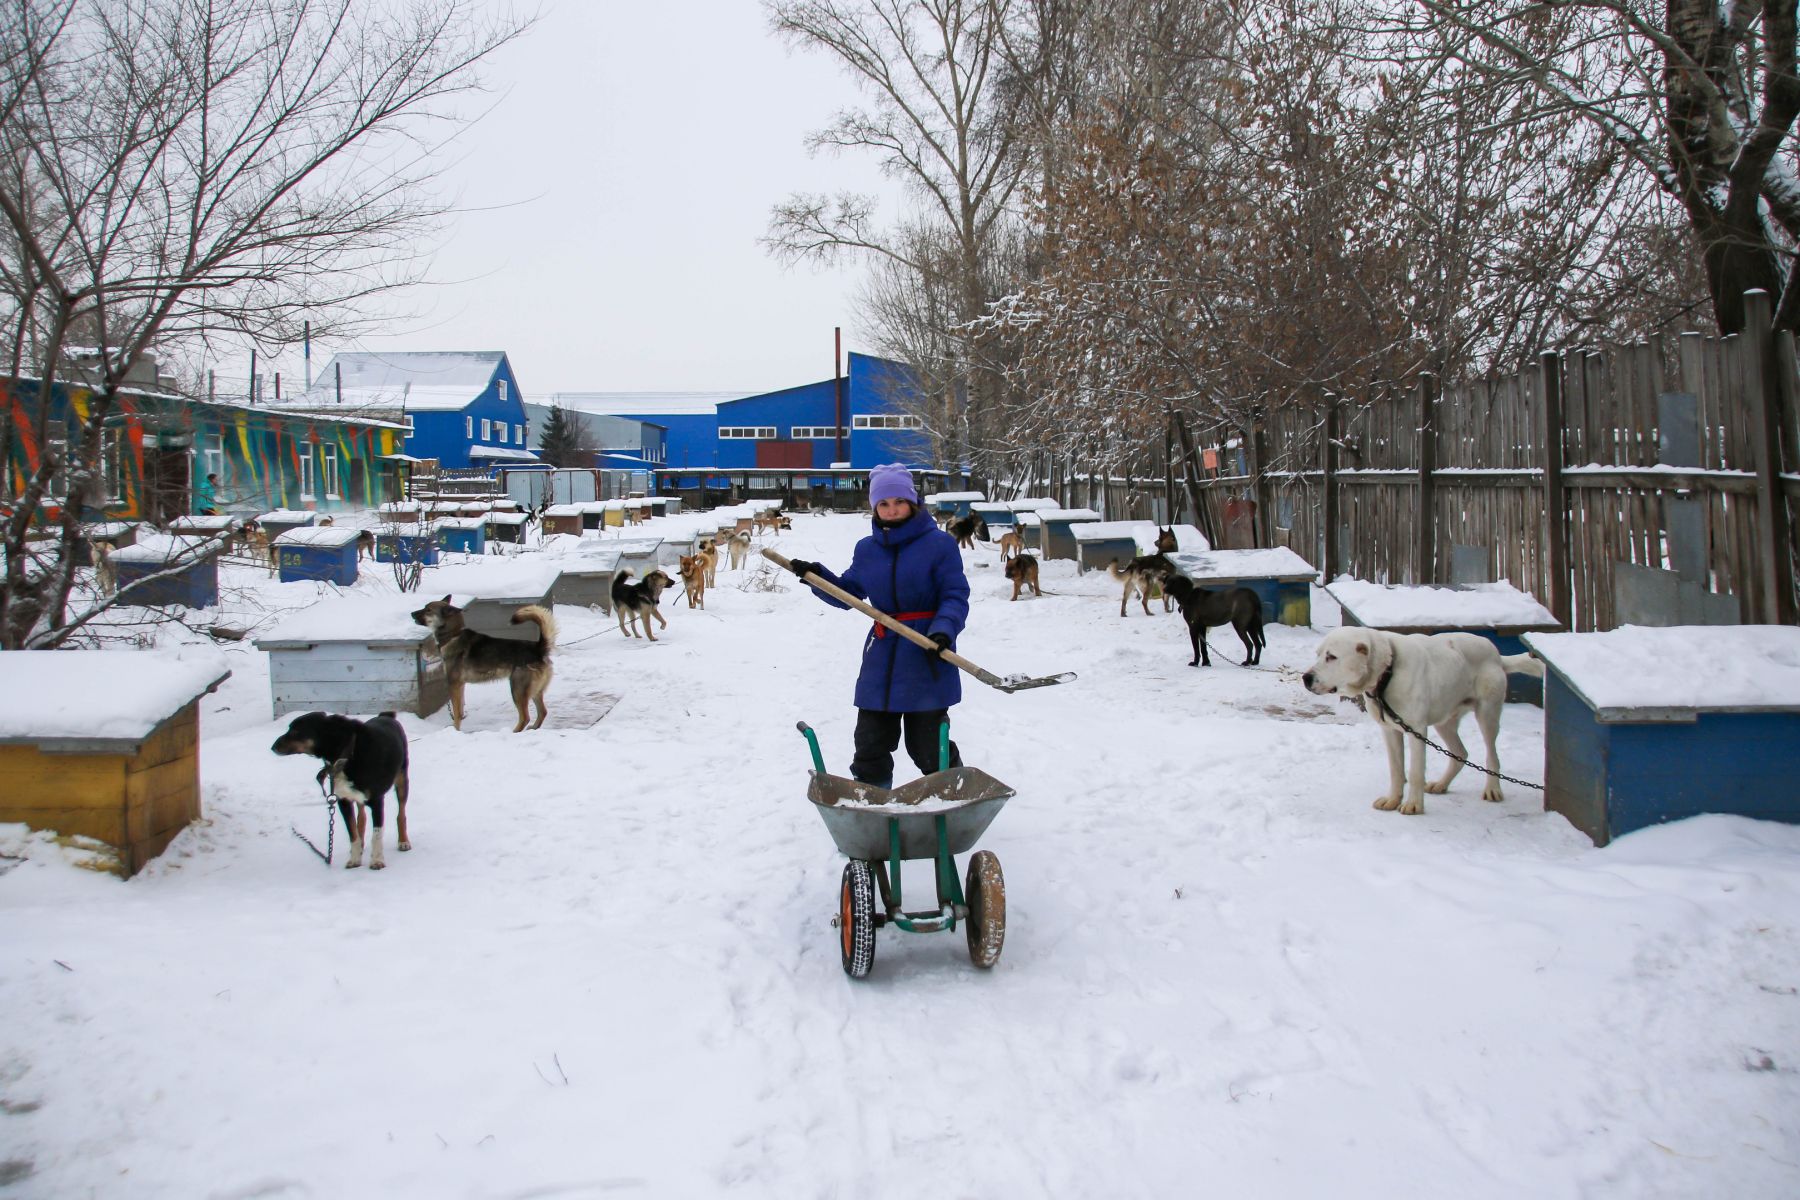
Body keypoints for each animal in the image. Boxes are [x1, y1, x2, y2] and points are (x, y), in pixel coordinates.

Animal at [270, 712, 412, 874]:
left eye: (295, 731)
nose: (273, 747)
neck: (347, 754)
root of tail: (386, 715)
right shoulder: (343, 800)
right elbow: (352, 833)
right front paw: (355, 860)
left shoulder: (376, 800)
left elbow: (377, 835)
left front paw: (377, 861)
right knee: (361, 817)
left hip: (402, 780)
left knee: (401, 814)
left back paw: (403, 841)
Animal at [410, 593, 554, 734]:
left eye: (428, 609)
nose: (411, 613)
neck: (453, 635)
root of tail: (538, 648)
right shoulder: (460, 685)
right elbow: (460, 710)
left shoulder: (454, 684)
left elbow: (456, 713)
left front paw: (455, 730)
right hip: (535, 691)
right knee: (543, 712)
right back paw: (534, 728)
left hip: (517, 689)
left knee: (525, 717)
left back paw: (512, 732)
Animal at [1303, 629, 1540, 816]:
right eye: (1318, 655)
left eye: (1332, 657)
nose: (1306, 678)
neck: (1387, 673)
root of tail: (1496, 654)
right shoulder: (1390, 730)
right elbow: (1396, 770)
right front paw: (1392, 800)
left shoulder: (1416, 730)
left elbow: (1415, 772)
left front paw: (1413, 805)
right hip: (1445, 722)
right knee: (1460, 754)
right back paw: (1441, 784)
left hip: (1487, 715)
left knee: (1492, 755)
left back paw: (1493, 789)